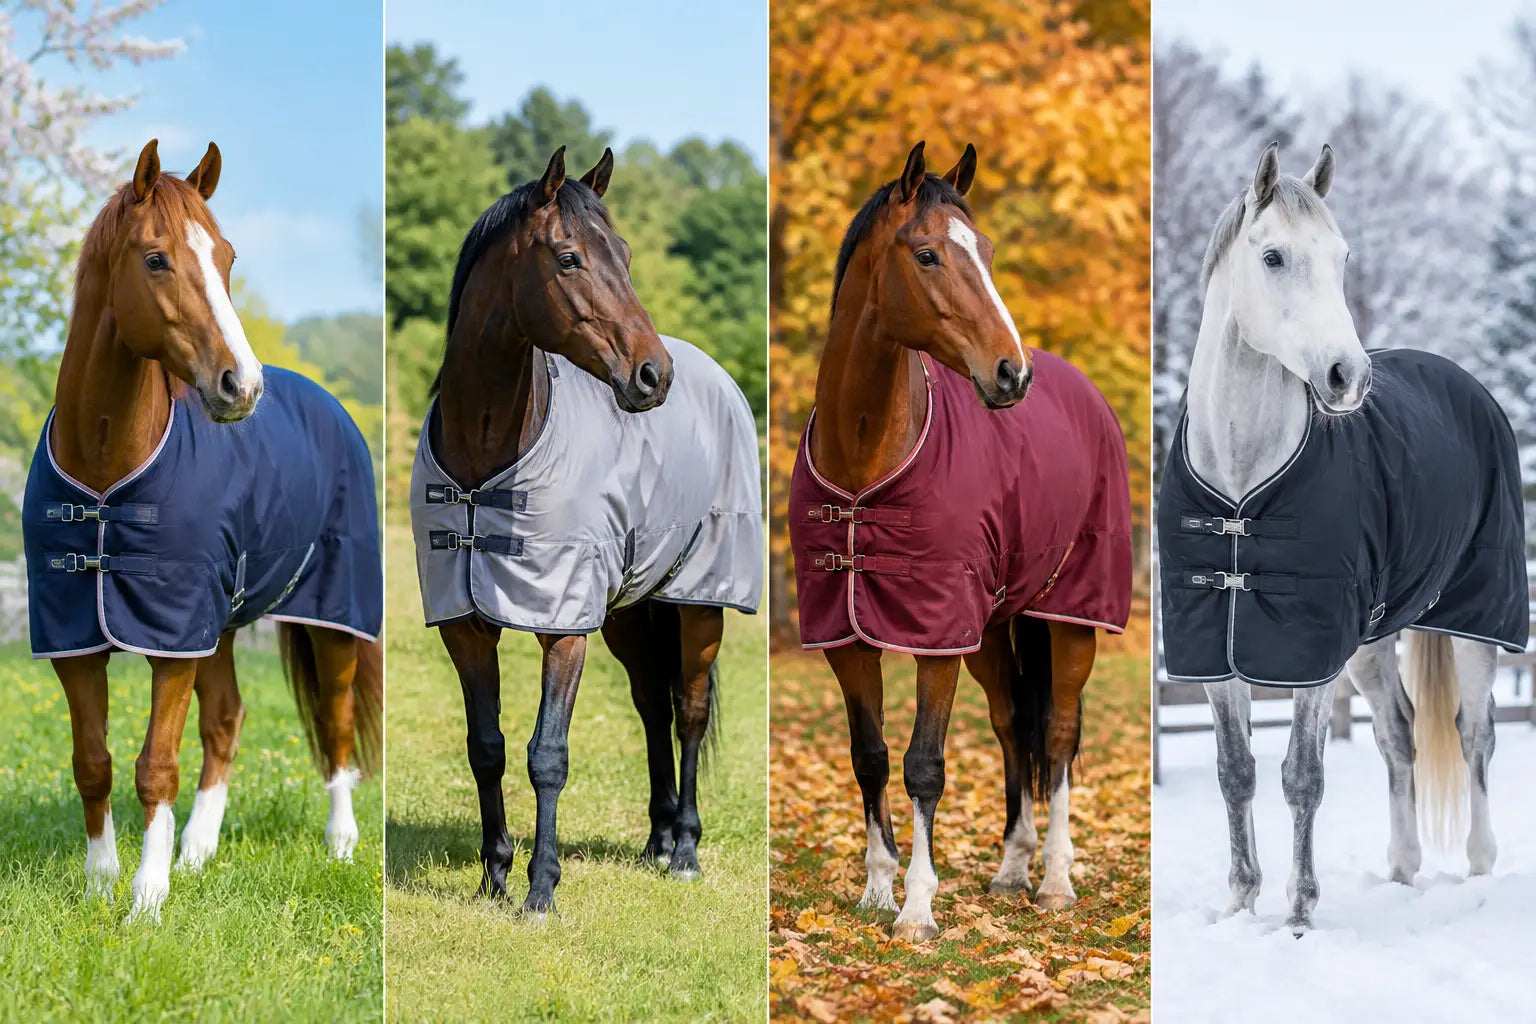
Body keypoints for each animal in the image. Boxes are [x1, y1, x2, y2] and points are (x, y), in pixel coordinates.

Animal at [20, 140, 384, 922]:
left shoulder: (172, 639)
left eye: (226, 255)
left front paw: (145, 900)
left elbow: (155, 764)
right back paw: (198, 849)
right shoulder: (79, 639)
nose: (240, 385)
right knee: (227, 720)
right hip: (218, 625)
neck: (107, 473)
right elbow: (92, 762)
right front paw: (102, 882)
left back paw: (339, 842)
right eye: (156, 259)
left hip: (332, 618)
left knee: (337, 723)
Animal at [408, 146, 762, 916]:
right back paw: (657, 839)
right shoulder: (464, 628)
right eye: (568, 257)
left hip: (701, 603)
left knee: (688, 710)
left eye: (624, 252)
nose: (652, 374)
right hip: (631, 611)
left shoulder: (563, 624)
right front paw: (494, 875)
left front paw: (540, 888)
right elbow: (488, 747)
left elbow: (548, 754)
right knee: (651, 706)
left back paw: (685, 849)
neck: (486, 462)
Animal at [786, 142, 1133, 942]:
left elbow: (925, 764)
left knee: (1058, 734)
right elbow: (871, 756)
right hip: (995, 629)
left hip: (1071, 618)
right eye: (927, 254)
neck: (866, 460)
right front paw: (877, 889)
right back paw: (1011, 869)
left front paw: (916, 907)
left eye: (990, 252)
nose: (1012, 373)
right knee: (1012, 727)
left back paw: (1056, 880)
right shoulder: (849, 636)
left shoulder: (936, 632)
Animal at [1157, 142, 1528, 933]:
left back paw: (1479, 865)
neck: (1244, 484)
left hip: (1478, 622)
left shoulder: (1310, 659)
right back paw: (1402, 868)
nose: (1346, 377)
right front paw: (1241, 902)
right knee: (1399, 733)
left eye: (1343, 257)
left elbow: (1303, 775)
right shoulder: (1217, 653)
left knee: (1475, 733)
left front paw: (1298, 912)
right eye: (1272, 256)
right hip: (1370, 642)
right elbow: (1235, 772)